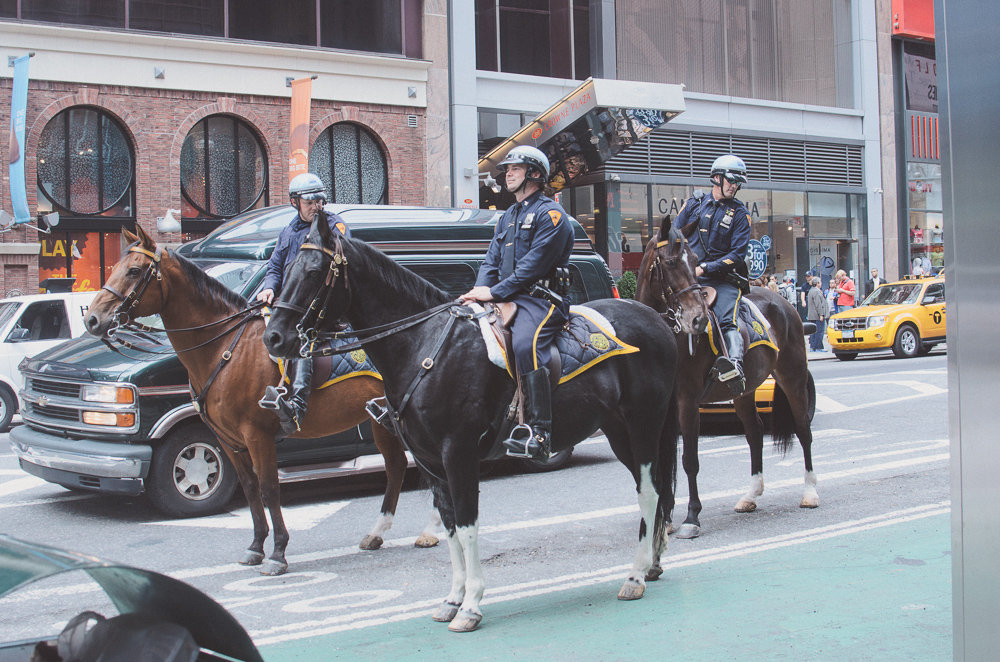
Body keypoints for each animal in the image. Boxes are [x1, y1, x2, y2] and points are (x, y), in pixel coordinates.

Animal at [85, 225, 440, 576]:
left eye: (134, 270)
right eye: (115, 266)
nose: (92, 319)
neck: (224, 348)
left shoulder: (257, 434)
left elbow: (269, 488)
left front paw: (278, 552)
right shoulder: (227, 440)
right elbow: (250, 488)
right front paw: (256, 547)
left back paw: (429, 531)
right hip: (382, 421)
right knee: (396, 467)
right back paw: (378, 532)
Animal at [261, 214, 680, 632]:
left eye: (312, 271)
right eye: (287, 268)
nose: (274, 337)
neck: (423, 344)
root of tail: (656, 318)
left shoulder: (458, 453)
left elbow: (466, 525)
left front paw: (472, 603)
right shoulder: (430, 461)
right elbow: (449, 528)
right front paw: (452, 598)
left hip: (644, 424)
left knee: (649, 491)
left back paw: (635, 574)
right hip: (618, 430)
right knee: (654, 488)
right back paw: (654, 562)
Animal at [635, 216, 817, 539]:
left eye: (696, 261)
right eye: (671, 261)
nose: (696, 319)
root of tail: (785, 303)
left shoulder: (687, 401)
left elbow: (689, 460)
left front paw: (691, 517)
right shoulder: (662, 408)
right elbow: (663, 461)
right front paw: (664, 518)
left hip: (793, 378)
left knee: (803, 430)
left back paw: (809, 492)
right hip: (744, 391)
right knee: (755, 433)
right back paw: (751, 495)